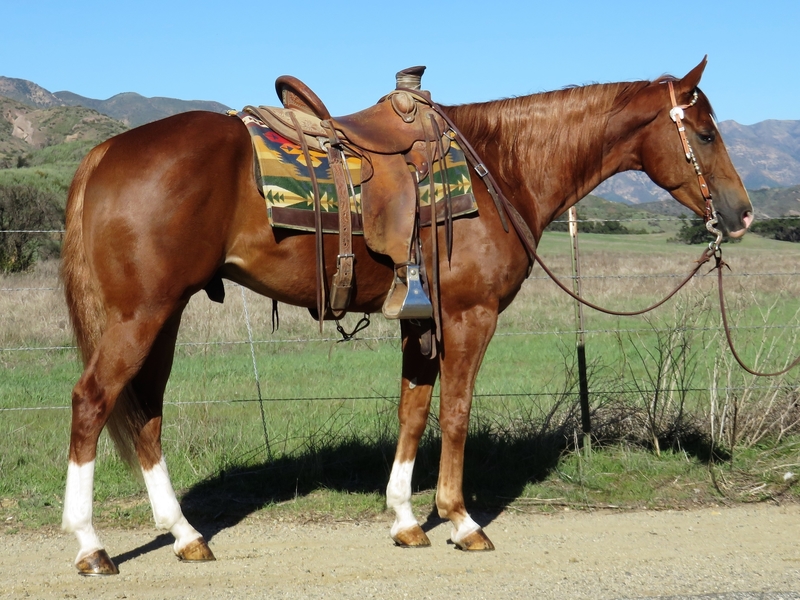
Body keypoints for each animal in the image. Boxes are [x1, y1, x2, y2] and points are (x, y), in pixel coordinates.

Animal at [60, 57, 752, 574]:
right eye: (706, 133)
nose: (743, 213)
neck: (499, 166)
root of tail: (107, 150)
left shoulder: (420, 321)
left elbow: (413, 410)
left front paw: (404, 519)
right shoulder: (471, 316)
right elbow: (456, 413)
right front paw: (461, 520)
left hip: (163, 315)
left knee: (146, 412)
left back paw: (184, 534)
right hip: (140, 315)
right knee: (93, 401)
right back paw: (92, 545)